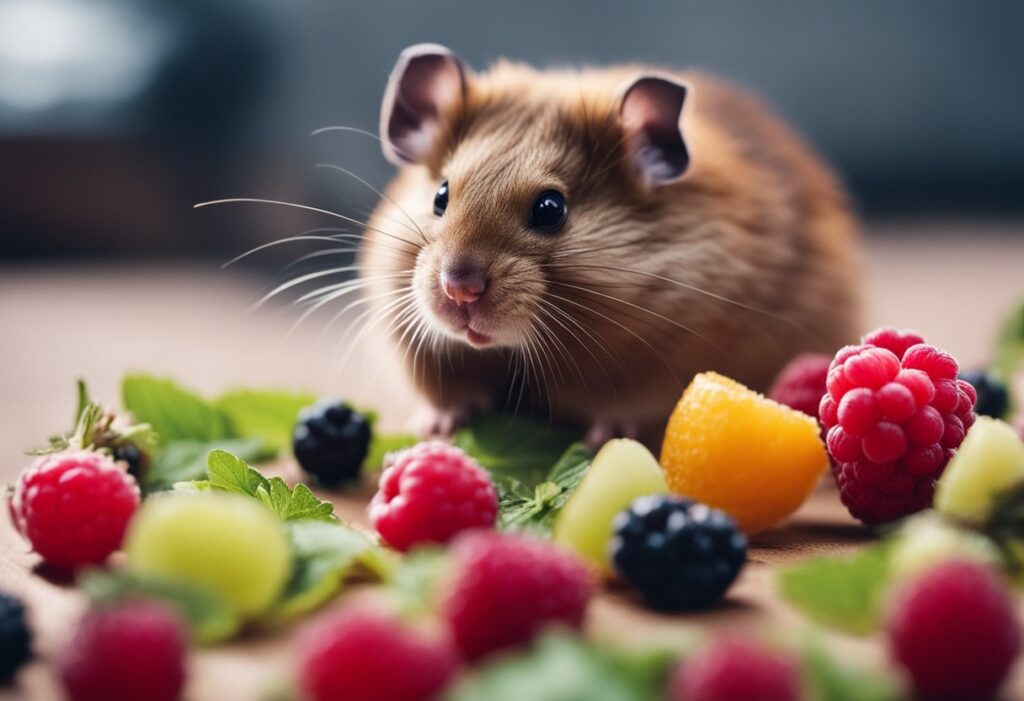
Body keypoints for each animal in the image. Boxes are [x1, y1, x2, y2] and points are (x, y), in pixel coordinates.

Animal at [358, 44, 862, 447]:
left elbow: (628, 407)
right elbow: (448, 395)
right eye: (440, 196)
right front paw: (437, 428)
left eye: (550, 209)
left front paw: (607, 437)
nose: (459, 289)